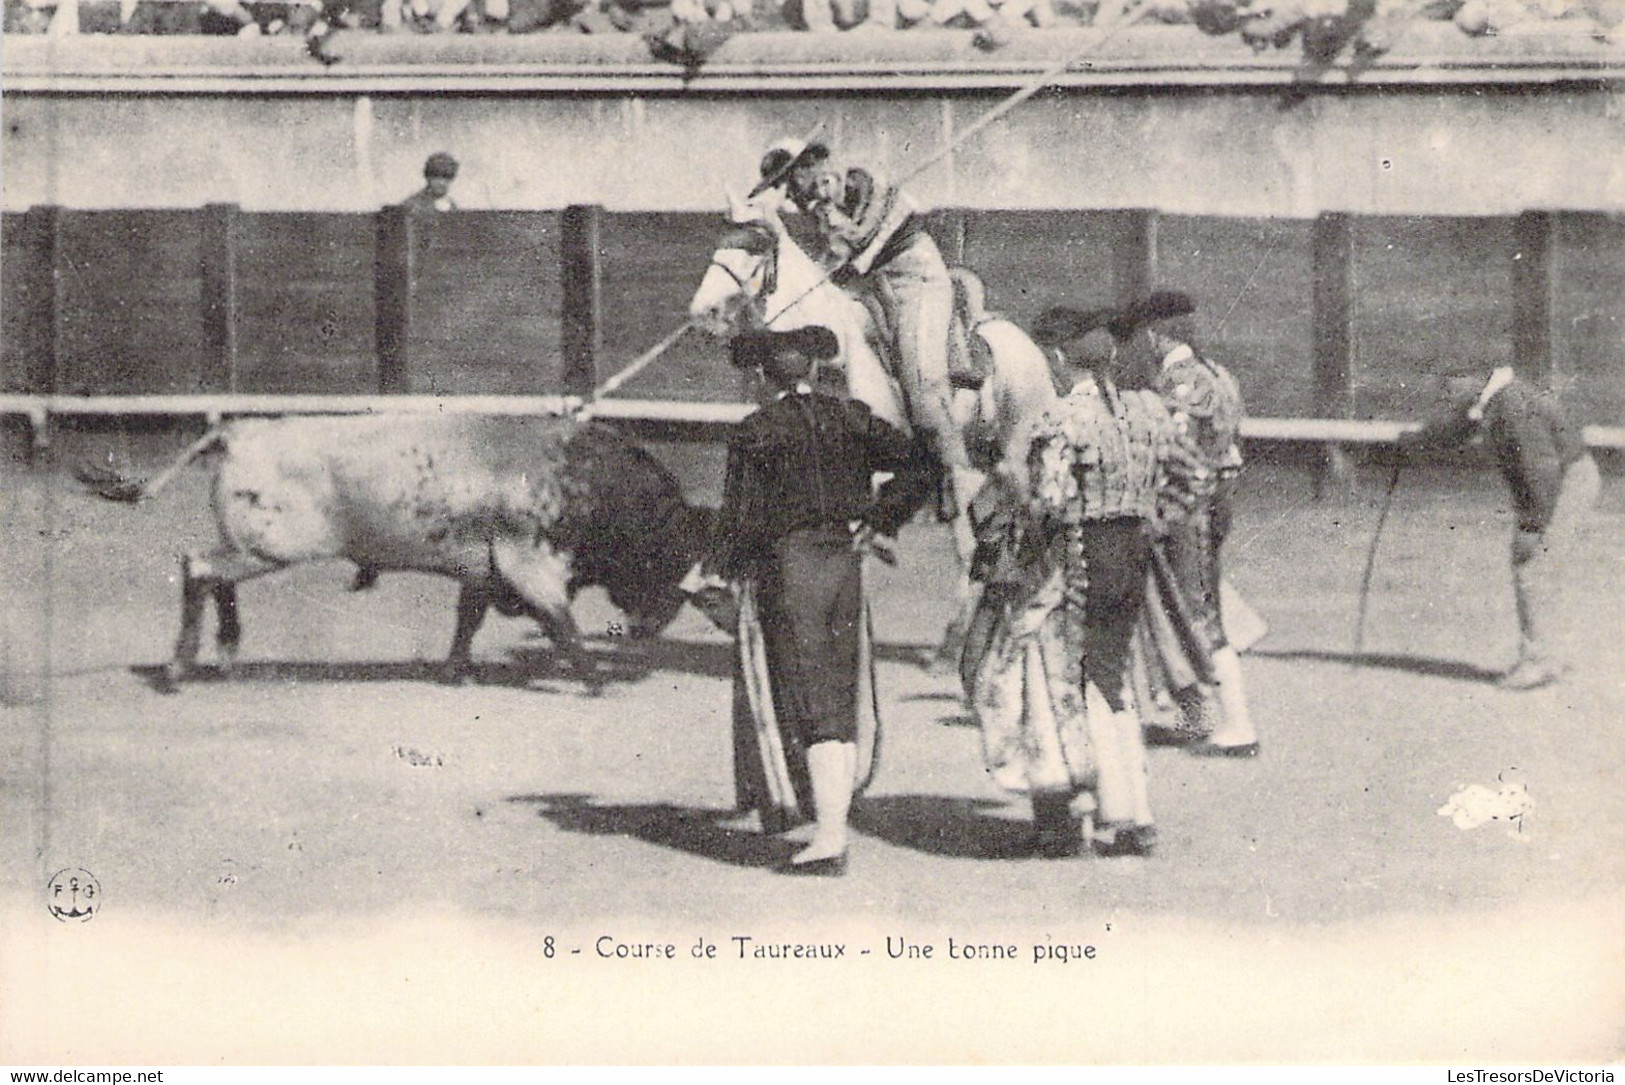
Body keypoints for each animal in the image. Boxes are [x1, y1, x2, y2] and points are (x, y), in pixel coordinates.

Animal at [80, 410, 718, 691]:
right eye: (667, 555)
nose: (647, 631)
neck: (580, 480)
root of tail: (241, 430)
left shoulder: (481, 570)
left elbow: (468, 620)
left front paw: (455, 673)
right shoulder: (530, 567)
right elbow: (564, 626)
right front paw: (595, 680)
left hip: (254, 546)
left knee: (217, 578)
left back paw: (227, 657)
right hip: (269, 548)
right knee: (199, 568)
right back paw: (179, 669)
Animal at [689, 195, 1059, 669]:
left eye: (755, 244)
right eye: (720, 238)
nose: (703, 314)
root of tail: (1022, 345)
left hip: (1015, 457)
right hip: (984, 462)